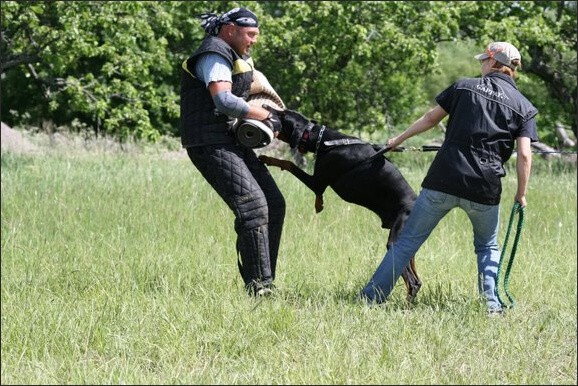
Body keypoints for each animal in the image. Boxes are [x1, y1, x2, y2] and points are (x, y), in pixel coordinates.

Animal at [258, 106, 420, 302]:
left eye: (282, 114)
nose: (266, 107)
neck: (323, 140)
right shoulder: (318, 182)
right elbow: (317, 194)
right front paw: (319, 203)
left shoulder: (317, 181)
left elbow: (288, 163)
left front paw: (267, 158)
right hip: (408, 243)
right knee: (416, 279)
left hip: (396, 240)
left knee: (412, 282)